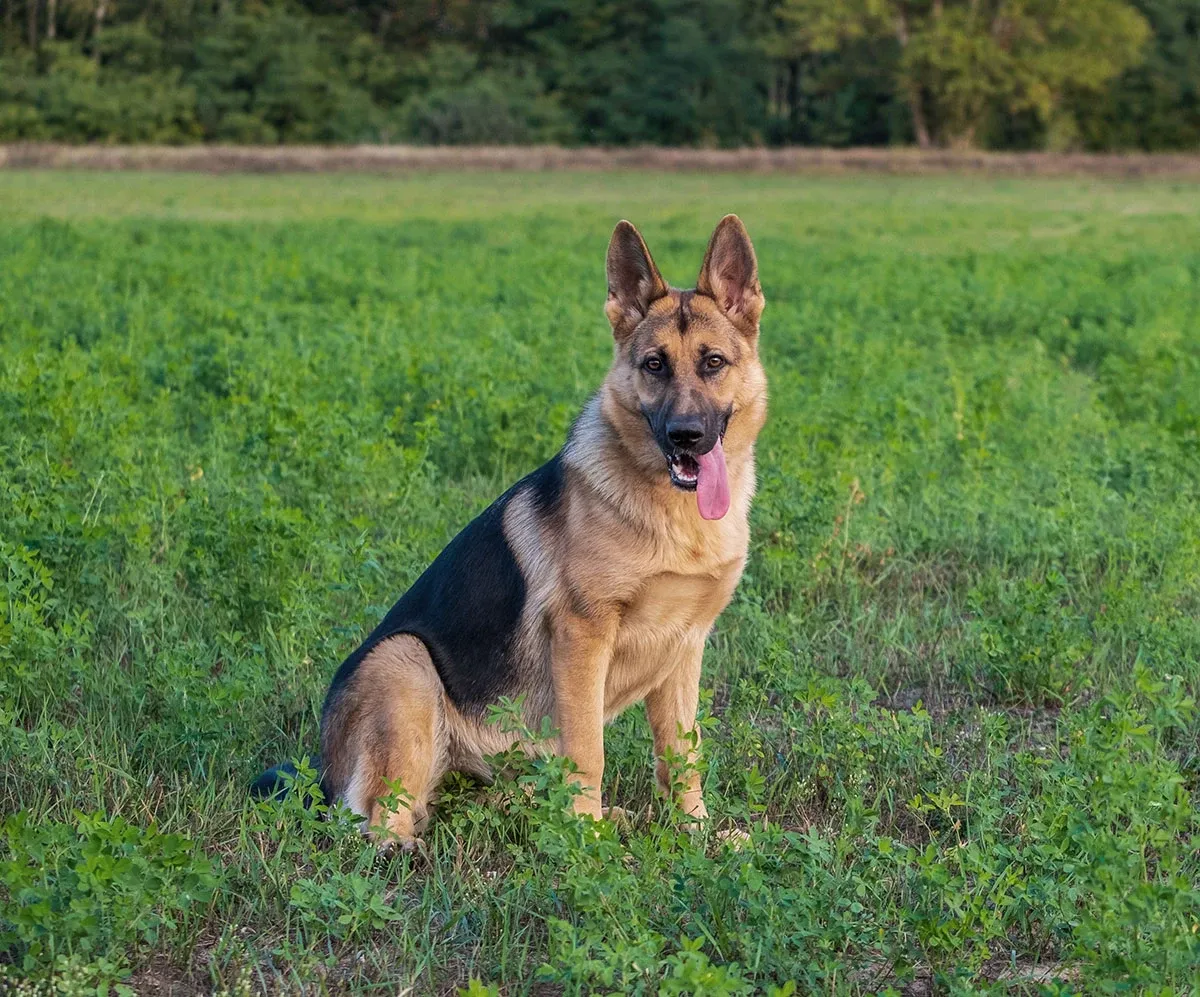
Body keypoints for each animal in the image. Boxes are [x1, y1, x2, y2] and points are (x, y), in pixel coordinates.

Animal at [253, 212, 768, 849]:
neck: (671, 514)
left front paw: (695, 834)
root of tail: (322, 770)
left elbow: (682, 756)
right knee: (377, 819)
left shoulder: (685, 646)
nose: (686, 437)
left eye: (713, 362)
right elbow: (589, 752)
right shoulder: (581, 638)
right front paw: (588, 844)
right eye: (654, 365)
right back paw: (415, 851)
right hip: (404, 662)